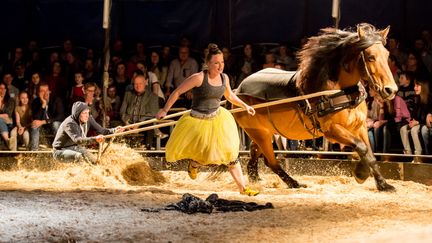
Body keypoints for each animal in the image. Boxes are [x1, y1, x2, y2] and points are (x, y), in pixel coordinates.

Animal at [233, 24, 398, 192]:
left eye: (387, 55)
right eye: (370, 57)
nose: (390, 90)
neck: (341, 91)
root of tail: (237, 89)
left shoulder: (360, 127)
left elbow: (370, 153)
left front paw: (383, 184)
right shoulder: (332, 130)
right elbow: (361, 147)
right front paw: (361, 174)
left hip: (263, 132)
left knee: (255, 158)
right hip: (260, 134)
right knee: (271, 162)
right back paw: (294, 183)